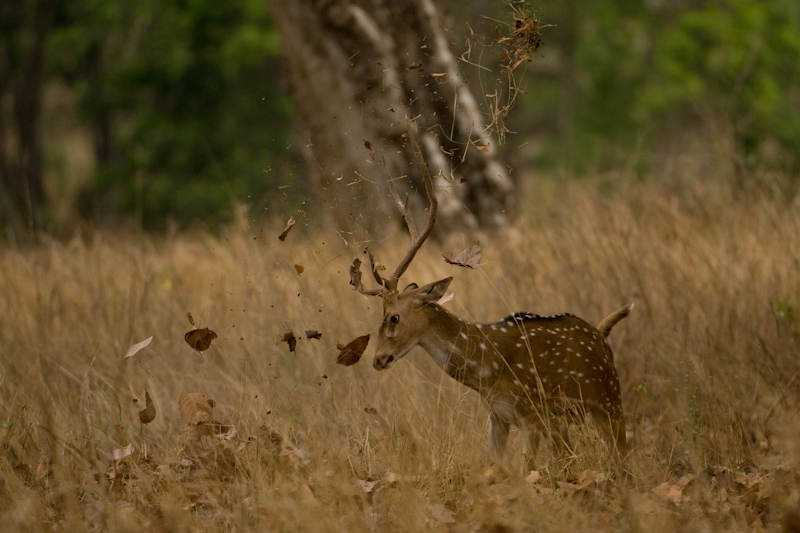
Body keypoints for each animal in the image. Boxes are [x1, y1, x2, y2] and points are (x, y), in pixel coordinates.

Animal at [352, 118, 632, 460]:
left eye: (393, 317)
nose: (378, 360)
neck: (485, 370)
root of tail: (601, 333)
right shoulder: (498, 416)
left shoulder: (531, 414)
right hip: (570, 419)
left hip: (609, 399)